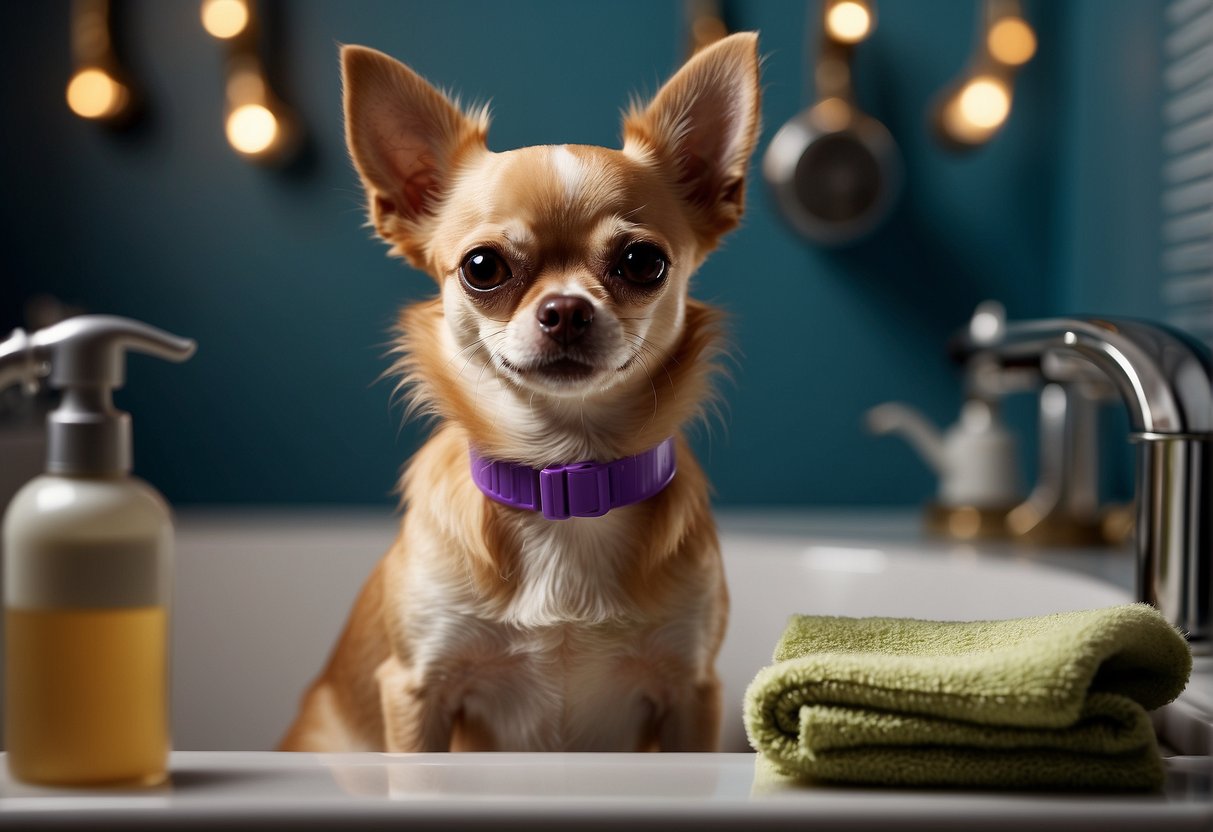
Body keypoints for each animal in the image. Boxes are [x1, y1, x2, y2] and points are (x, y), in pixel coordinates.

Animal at [278, 32, 761, 756]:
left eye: (643, 263)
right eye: (483, 267)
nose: (565, 310)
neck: (563, 478)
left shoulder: (689, 691)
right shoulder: (418, 689)